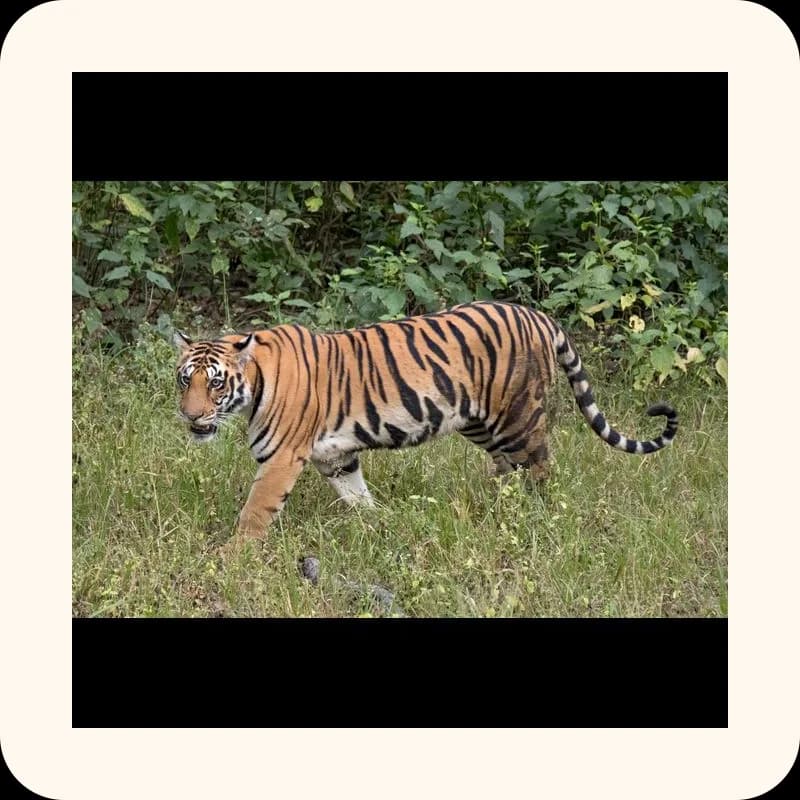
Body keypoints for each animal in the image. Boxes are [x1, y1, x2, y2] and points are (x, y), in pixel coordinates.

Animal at [173, 301, 677, 545]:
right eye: (184, 380)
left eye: (215, 383)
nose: (191, 415)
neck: (254, 384)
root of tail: (538, 315)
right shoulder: (336, 456)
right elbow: (357, 496)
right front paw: (379, 524)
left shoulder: (280, 458)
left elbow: (255, 511)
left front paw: (234, 556)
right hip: (479, 421)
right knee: (506, 468)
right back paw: (494, 507)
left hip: (518, 417)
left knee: (540, 468)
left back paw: (537, 516)